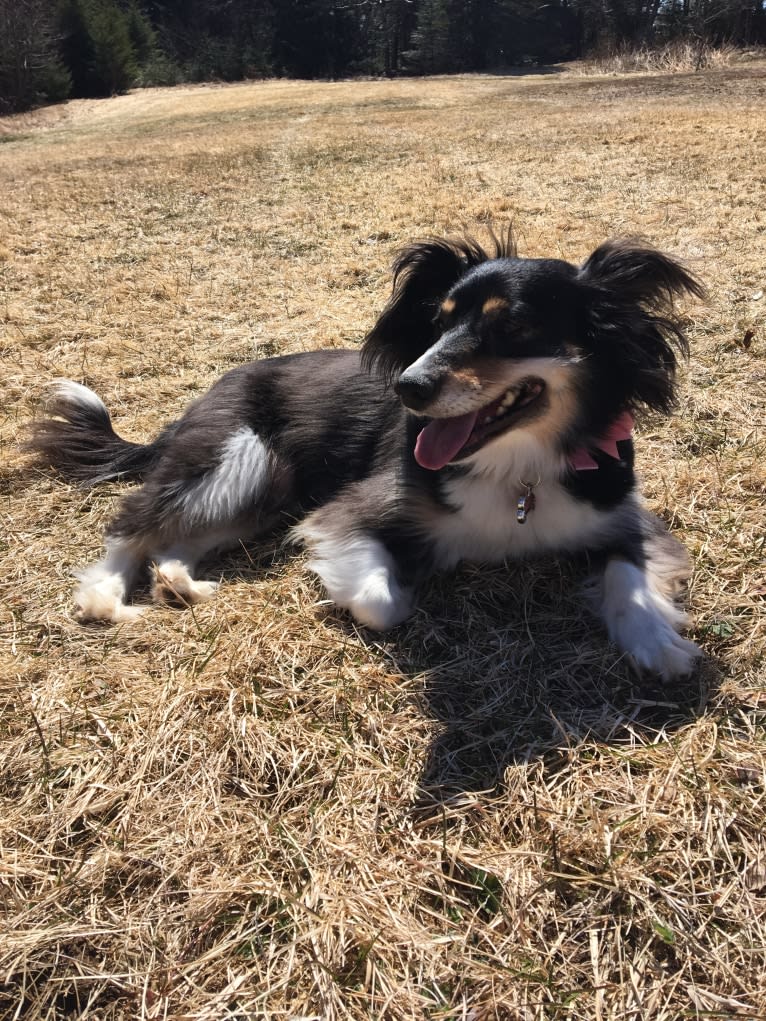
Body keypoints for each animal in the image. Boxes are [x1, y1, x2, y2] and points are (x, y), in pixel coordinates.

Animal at [27, 231, 706, 677]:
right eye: (437, 322)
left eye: (512, 327)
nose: (409, 386)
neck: (519, 469)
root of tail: (202, 398)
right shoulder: (351, 510)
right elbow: (382, 602)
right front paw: (406, 582)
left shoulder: (622, 517)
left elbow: (631, 578)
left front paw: (660, 644)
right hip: (236, 456)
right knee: (133, 522)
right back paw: (107, 600)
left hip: (264, 491)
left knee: (177, 538)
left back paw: (182, 584)